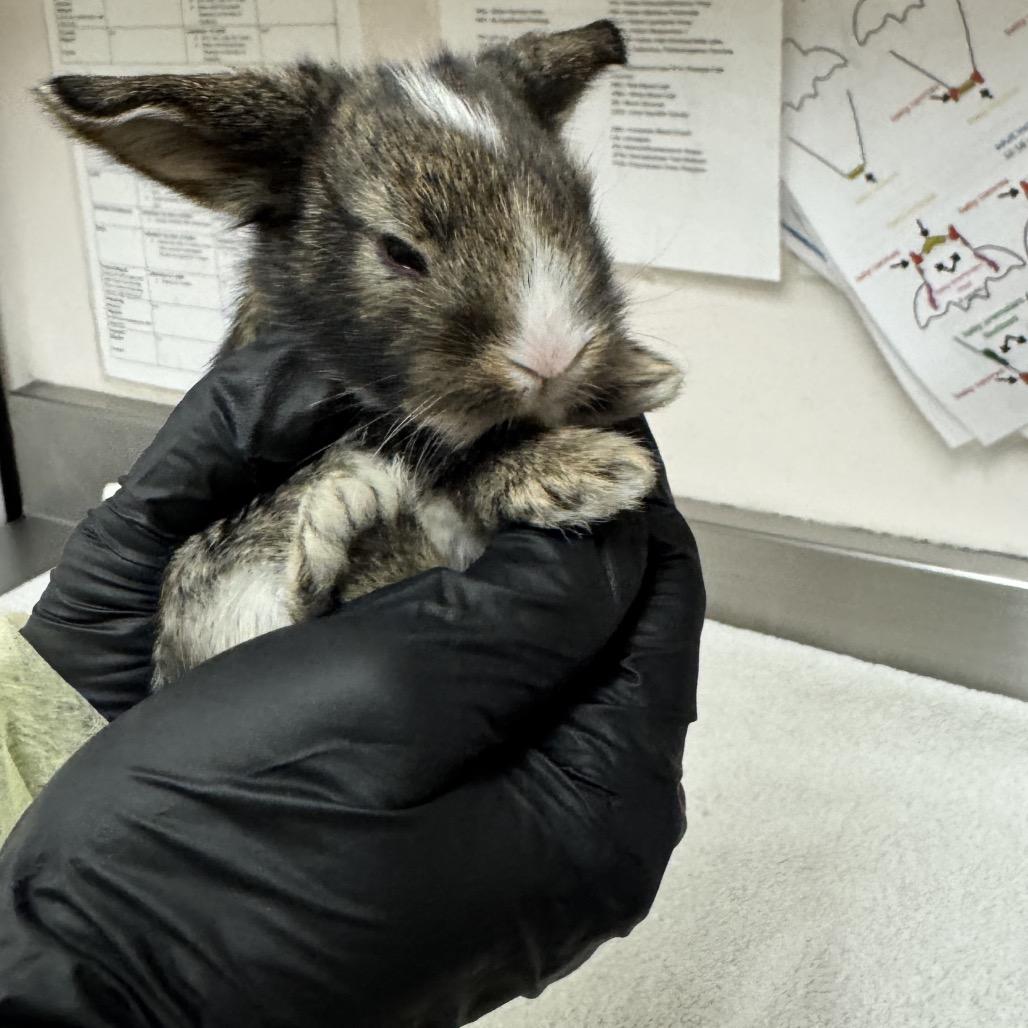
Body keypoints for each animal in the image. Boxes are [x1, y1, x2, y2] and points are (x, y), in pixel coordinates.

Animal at [38, 19, 683, 689]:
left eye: (580, 204)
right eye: (399, 250)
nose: (554, 357)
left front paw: (640, 383)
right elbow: (441, 469)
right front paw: (598, 470)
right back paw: (343, 515)